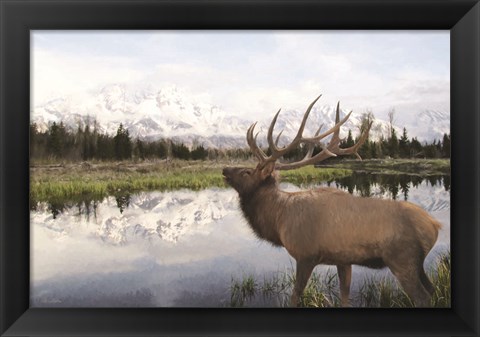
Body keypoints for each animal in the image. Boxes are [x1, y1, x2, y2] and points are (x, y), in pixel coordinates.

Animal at [223, 95, 440, 308]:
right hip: (418, 264)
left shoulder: (306, 255)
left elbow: (295, 296)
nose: (225, 169)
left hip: (402, 259)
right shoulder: (343, 259)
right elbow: (344, 297)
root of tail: (435, 225)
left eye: (247, 172)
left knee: (423, 297)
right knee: (433, 290)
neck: (278, 219)